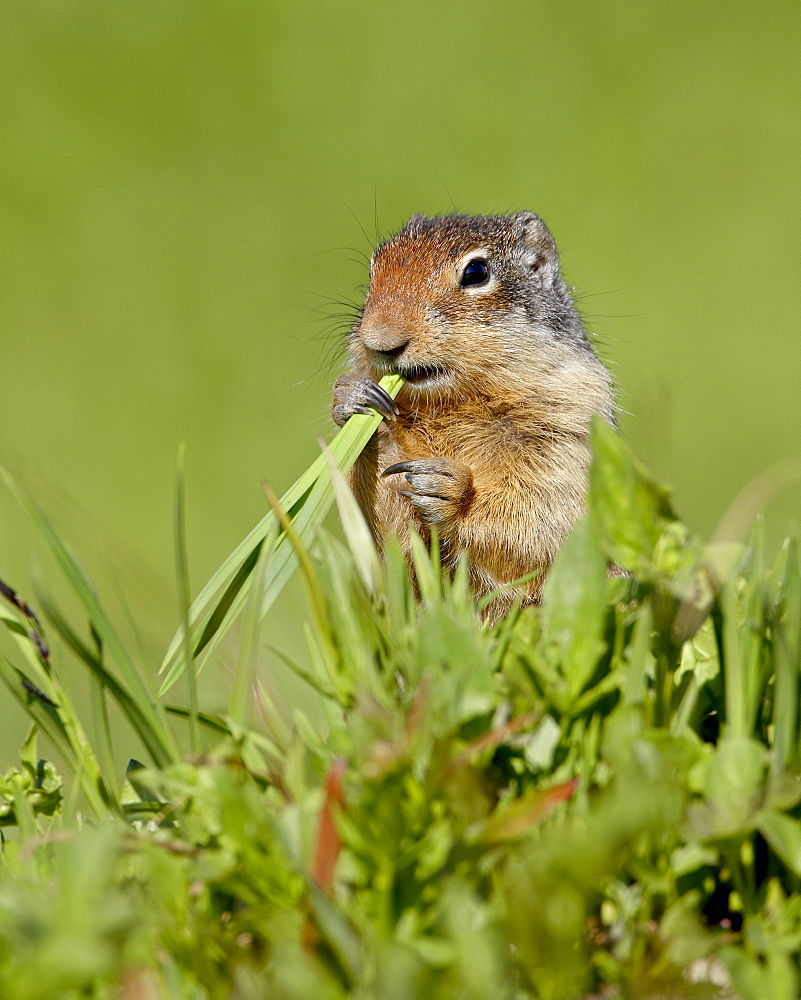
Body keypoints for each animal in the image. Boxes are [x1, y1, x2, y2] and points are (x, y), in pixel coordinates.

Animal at [332, 215, 612, 612]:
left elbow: (540, 521)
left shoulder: (565, 434)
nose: (380, 341)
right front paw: (353, 396)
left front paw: (450, 492)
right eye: (374, 269)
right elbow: (385, 553)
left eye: (476, 272)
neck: (452, 402)